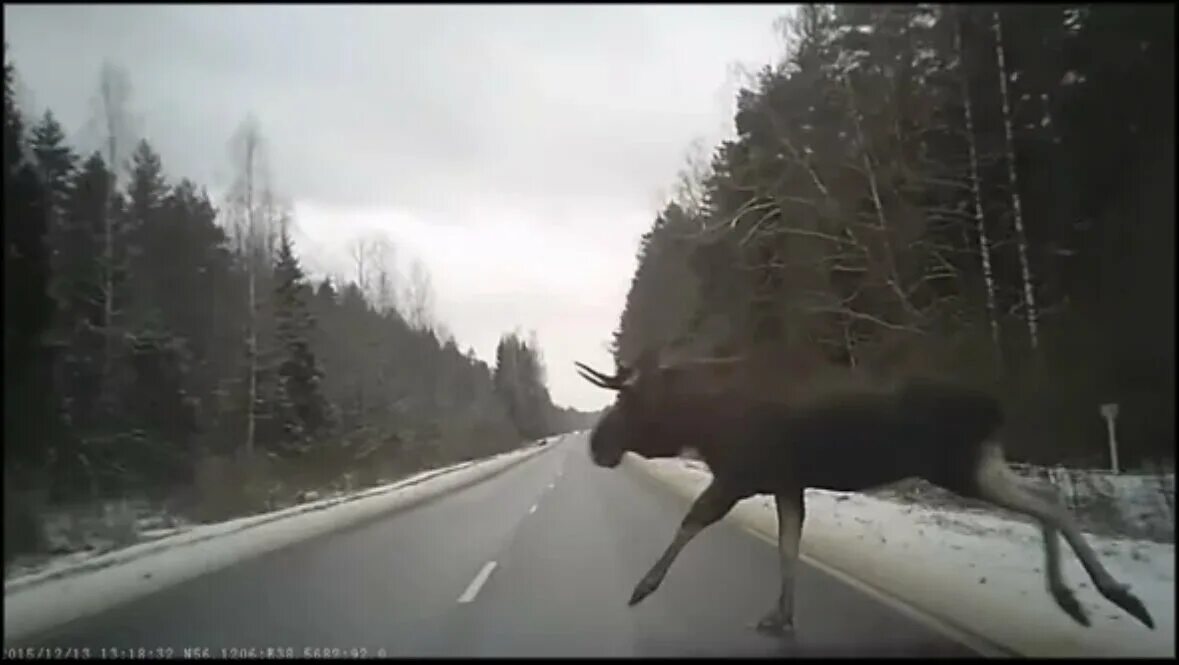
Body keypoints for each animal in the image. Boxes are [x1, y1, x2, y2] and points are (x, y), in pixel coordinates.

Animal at [575, 351, 1155, 636]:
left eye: (626, 402)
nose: (596, 444)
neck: (702, 419)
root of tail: (996, 407)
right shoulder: (787, 484)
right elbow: (789, 546)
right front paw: (780, 615)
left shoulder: (739, 477)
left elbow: (691, 522)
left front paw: (642, 587)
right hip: (976, 463)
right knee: (1047, 497)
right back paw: (1081, 598)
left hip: (955, 467)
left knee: (1045, 502)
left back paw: (1109, 594)